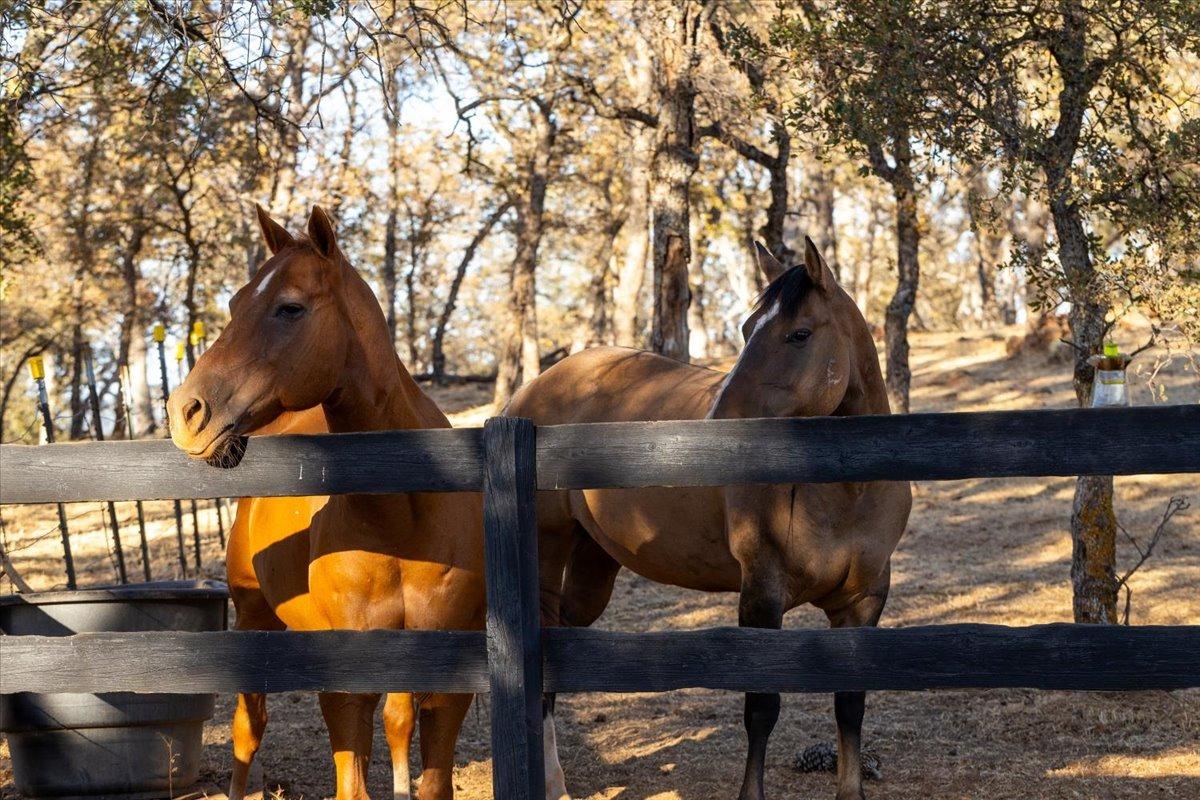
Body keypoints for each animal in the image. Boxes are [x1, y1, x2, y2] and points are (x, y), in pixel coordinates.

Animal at [170, 208, 571, 800]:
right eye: (235, 304)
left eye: (289, 307)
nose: (185, 411)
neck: (401, 513)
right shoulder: (346, 686)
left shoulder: (447, 682)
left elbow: (429, 775)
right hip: (253, 617)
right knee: (249, 728)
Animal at [506, 239, 907, 800]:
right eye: (745, 328)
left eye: (799, 333)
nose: (719, 422)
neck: (847, 490)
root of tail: (534, 390)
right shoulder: (761, 592)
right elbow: (761, 708)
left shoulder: (865, 600)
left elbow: (850, 704)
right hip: (549, 552)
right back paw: (552, 784)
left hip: (592, 567)